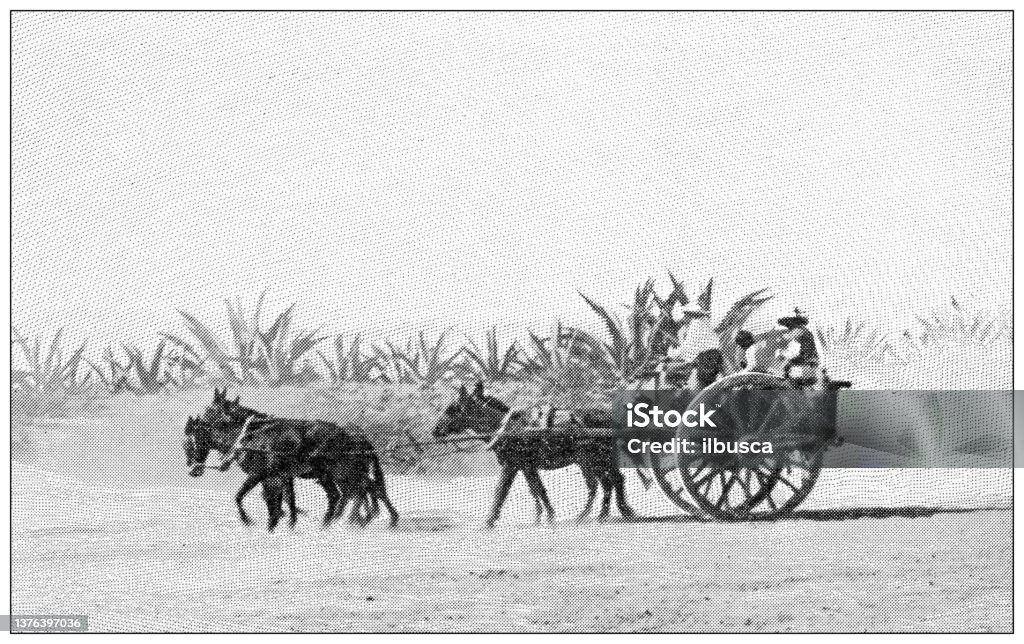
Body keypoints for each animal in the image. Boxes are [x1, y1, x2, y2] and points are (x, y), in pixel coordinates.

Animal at [184, 389, 395, 528]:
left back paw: (364, 518)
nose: (194, 470)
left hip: (340, 472)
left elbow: (247, 497)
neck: (250, 434)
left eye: (210, 410)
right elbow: (281, 498)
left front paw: (260, 521)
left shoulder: (261, 474)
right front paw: (286, 520)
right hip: (332, 475)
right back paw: (341, 520)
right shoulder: (279, 476)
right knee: (350, 492)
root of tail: (356, 437)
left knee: (363, 489)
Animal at [430, 380, 634, 528]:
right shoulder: (527, 466)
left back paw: (595, 515)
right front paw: (545, 516)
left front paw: (489, 520)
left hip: (593, 460)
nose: (435, 430)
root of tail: (607, 417)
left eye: (452, 409)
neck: (505, 427)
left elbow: (501, 490)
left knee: (605, 483)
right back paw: (613, 513)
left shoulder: (511, 465)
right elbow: (537, 489)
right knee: (612, 481)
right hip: (594, 461)